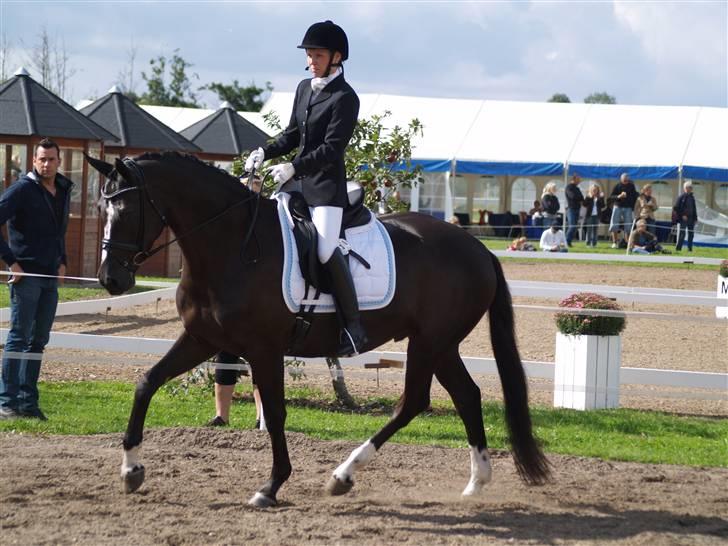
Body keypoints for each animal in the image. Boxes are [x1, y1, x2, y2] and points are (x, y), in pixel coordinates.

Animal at [85, 150, 548, 506]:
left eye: (126, 210)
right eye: (100, 209)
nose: (111, 279)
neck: (232, 246)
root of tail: (478, 249)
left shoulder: (263, 349)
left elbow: (274, 413)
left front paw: (271, 487)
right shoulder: (203, 339)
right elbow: (146, 382)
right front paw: (131, 469)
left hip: (430, 342)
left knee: (414, 402)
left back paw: (344, 475)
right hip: (440, 344)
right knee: (465, 397)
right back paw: (474, 483)